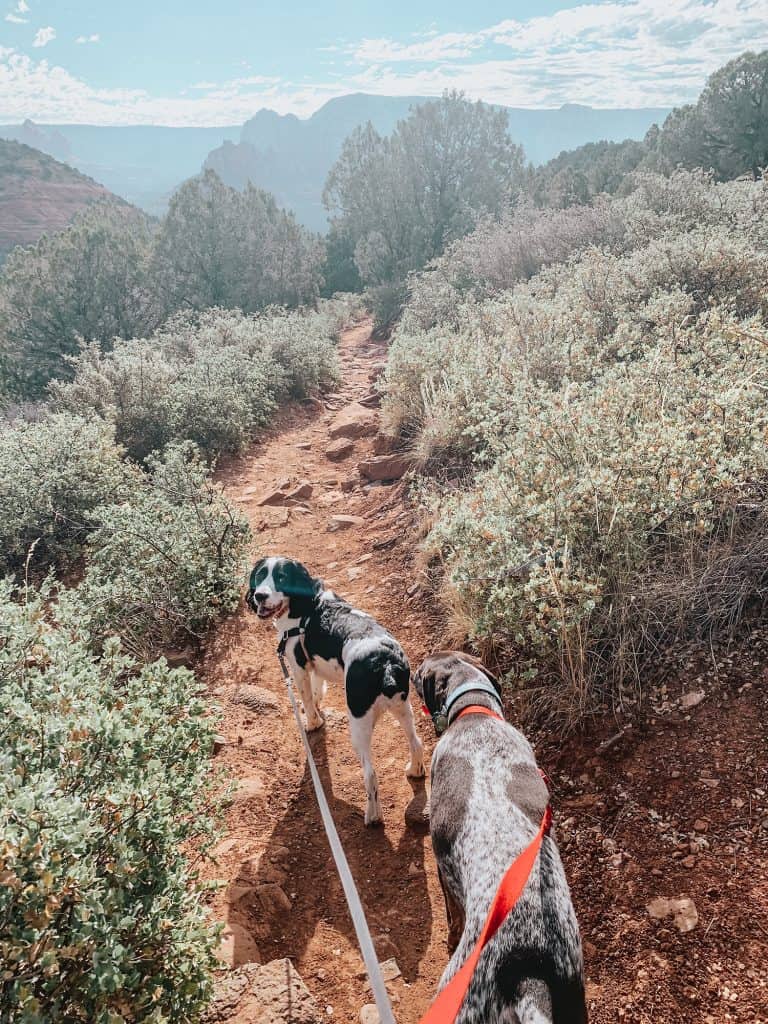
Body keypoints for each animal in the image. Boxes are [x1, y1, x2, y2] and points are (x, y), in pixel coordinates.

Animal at [247, 557, 423, 827]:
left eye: (281, 577)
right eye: (260, 575)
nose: (259, 596)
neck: (307, 606)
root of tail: (386, 663)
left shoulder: (297, 663)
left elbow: (306, 698)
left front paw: (313, 723)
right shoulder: (313, 664)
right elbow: (317, 688)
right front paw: (319, 707)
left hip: (358, 724)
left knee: (370, 775)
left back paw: (372, 816)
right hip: (403, 708)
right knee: (416, 743)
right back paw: (415, 770)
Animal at [415, 655, 589, 1024]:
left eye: (422, 672)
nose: (411, 671)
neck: (476, 713)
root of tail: (527, 980)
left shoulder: (442, 869)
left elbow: (452, 914)